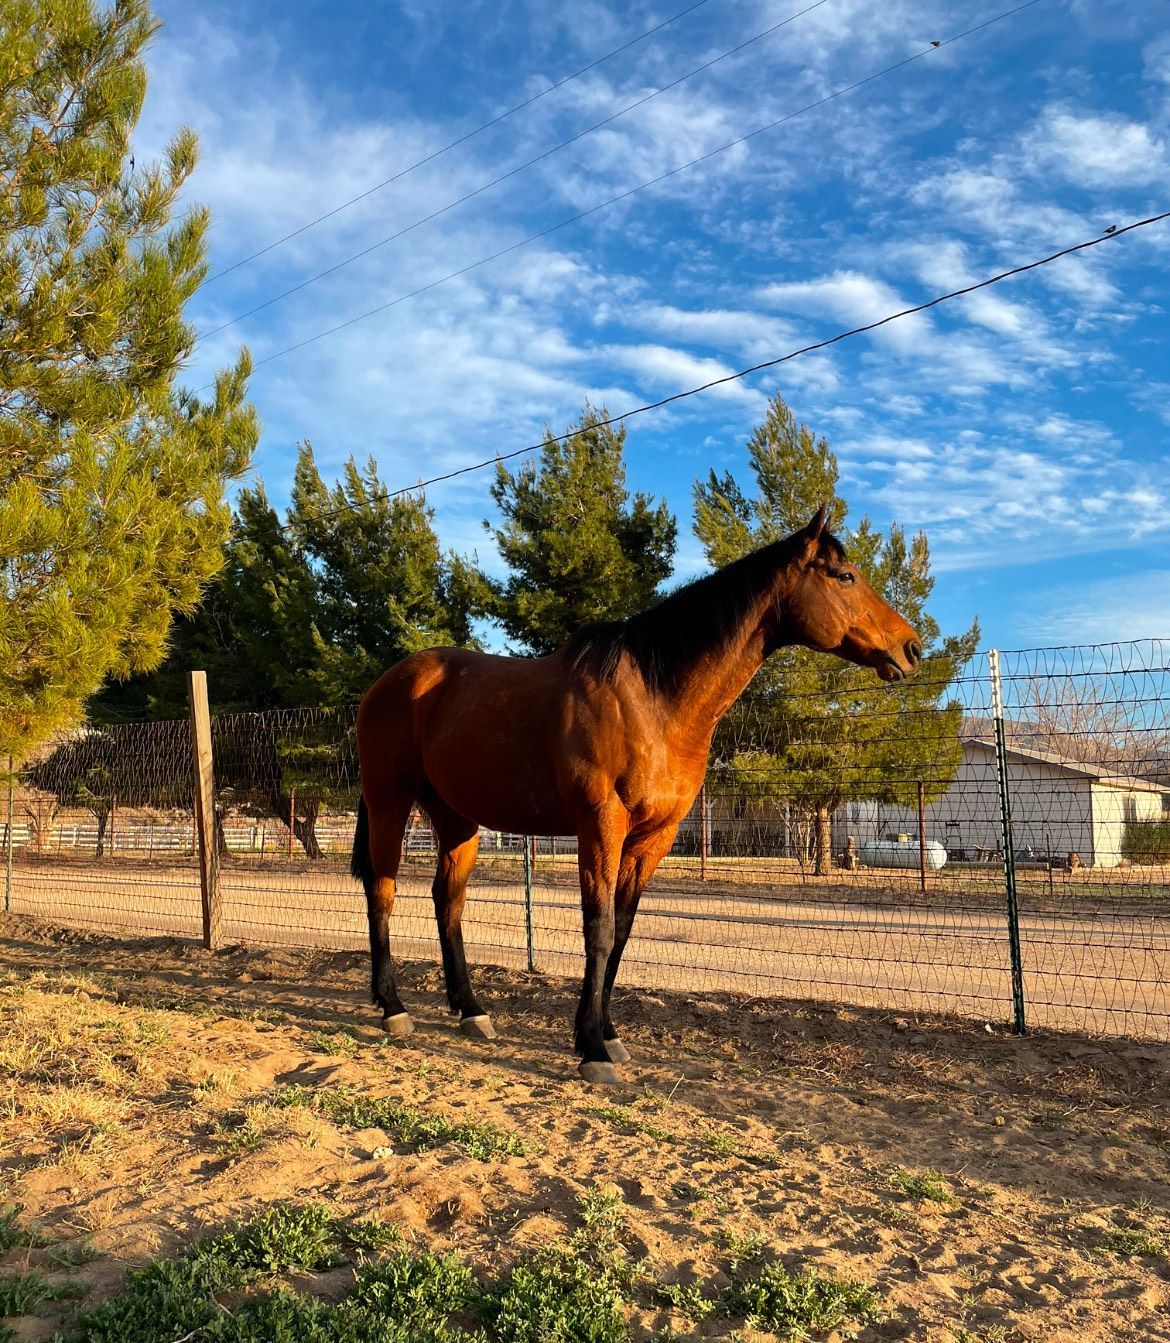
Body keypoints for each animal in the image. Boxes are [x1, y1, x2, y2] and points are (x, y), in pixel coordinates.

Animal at [351, 505, 922, 1083]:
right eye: (844, 576)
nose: (911, 648)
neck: (653, 699)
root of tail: (388, 683)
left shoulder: (655, 836)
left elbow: (623, 931)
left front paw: (605, 1034)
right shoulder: (601, 824)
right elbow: (599, 928)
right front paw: (593, 1051)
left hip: (456, 818)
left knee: (448, 902)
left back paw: (471, 1010)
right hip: (389, 803)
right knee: (382, 892)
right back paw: (393, 1007)